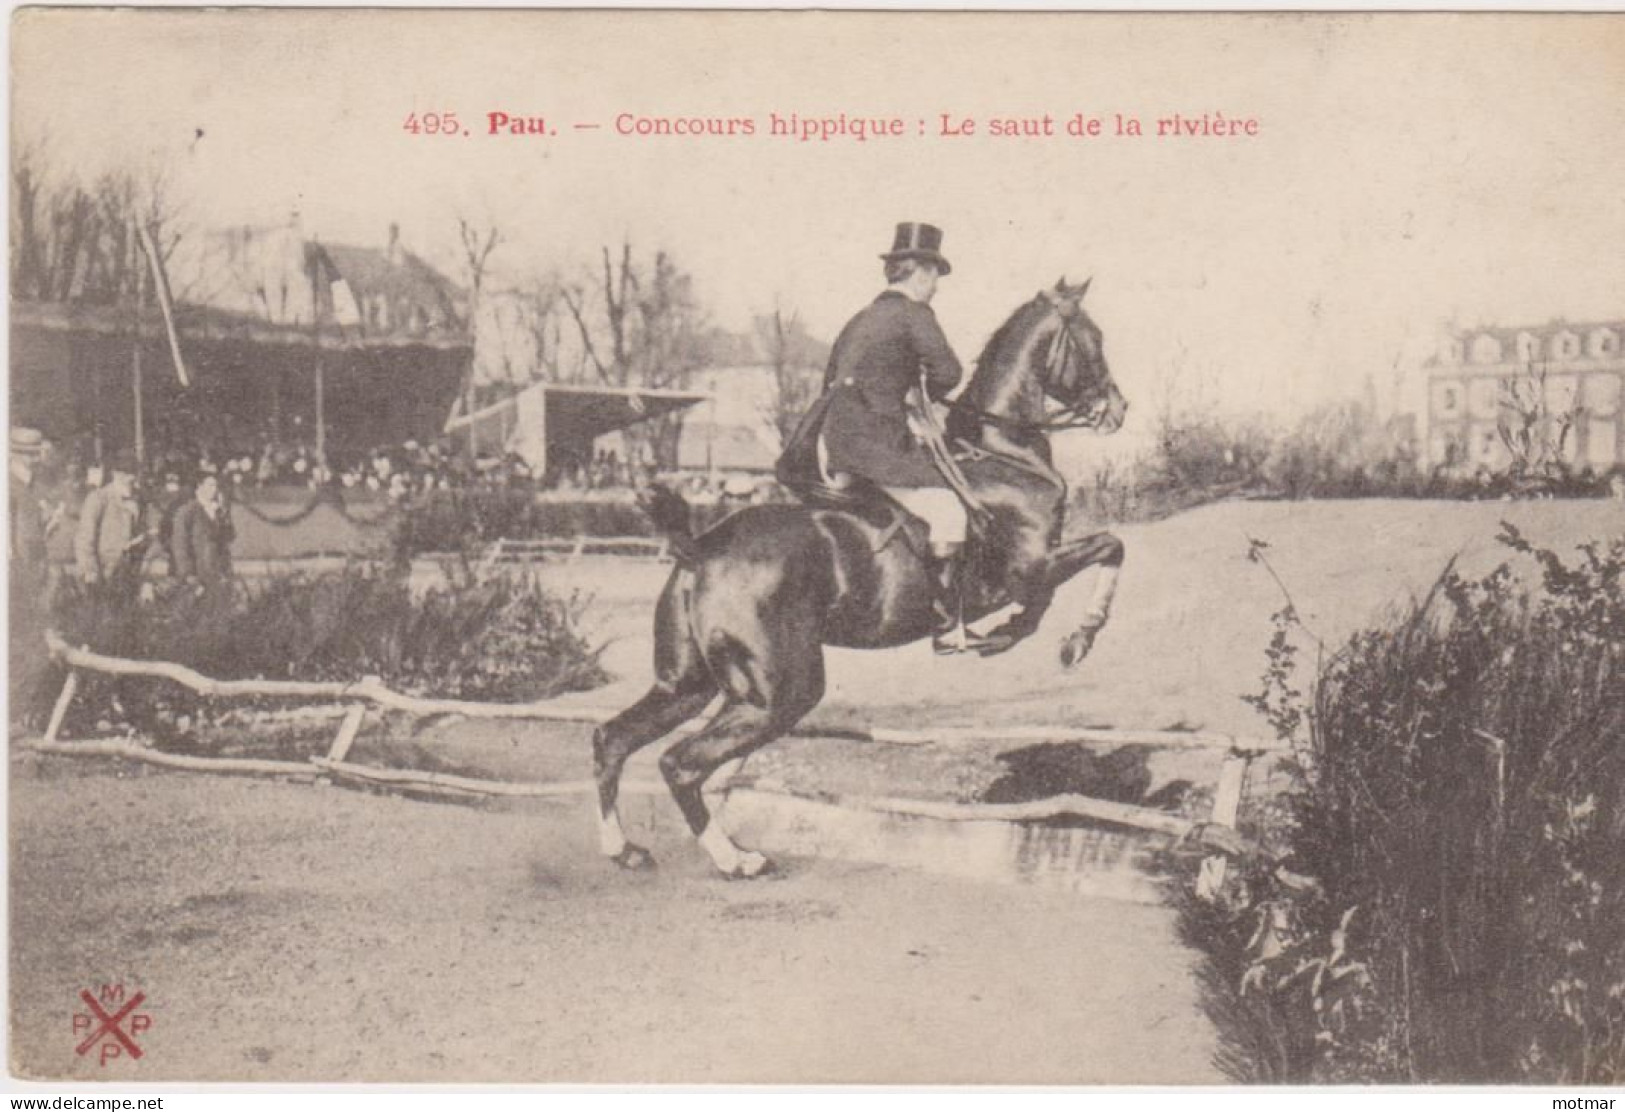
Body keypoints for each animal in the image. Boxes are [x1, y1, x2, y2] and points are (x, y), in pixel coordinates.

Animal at [594, 278, 1131, 877]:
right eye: (1094, 341)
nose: (1118, 408)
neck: (1001, 454)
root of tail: (701, 547)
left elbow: (1080, 571)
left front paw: (1007, 635)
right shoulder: (1030, 567)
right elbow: (1101, 554)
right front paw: (1071, 638)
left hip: (687, 685)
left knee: (613, 739)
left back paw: (624, 848)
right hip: (778, 694)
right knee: (680, 763)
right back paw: (738, 859)